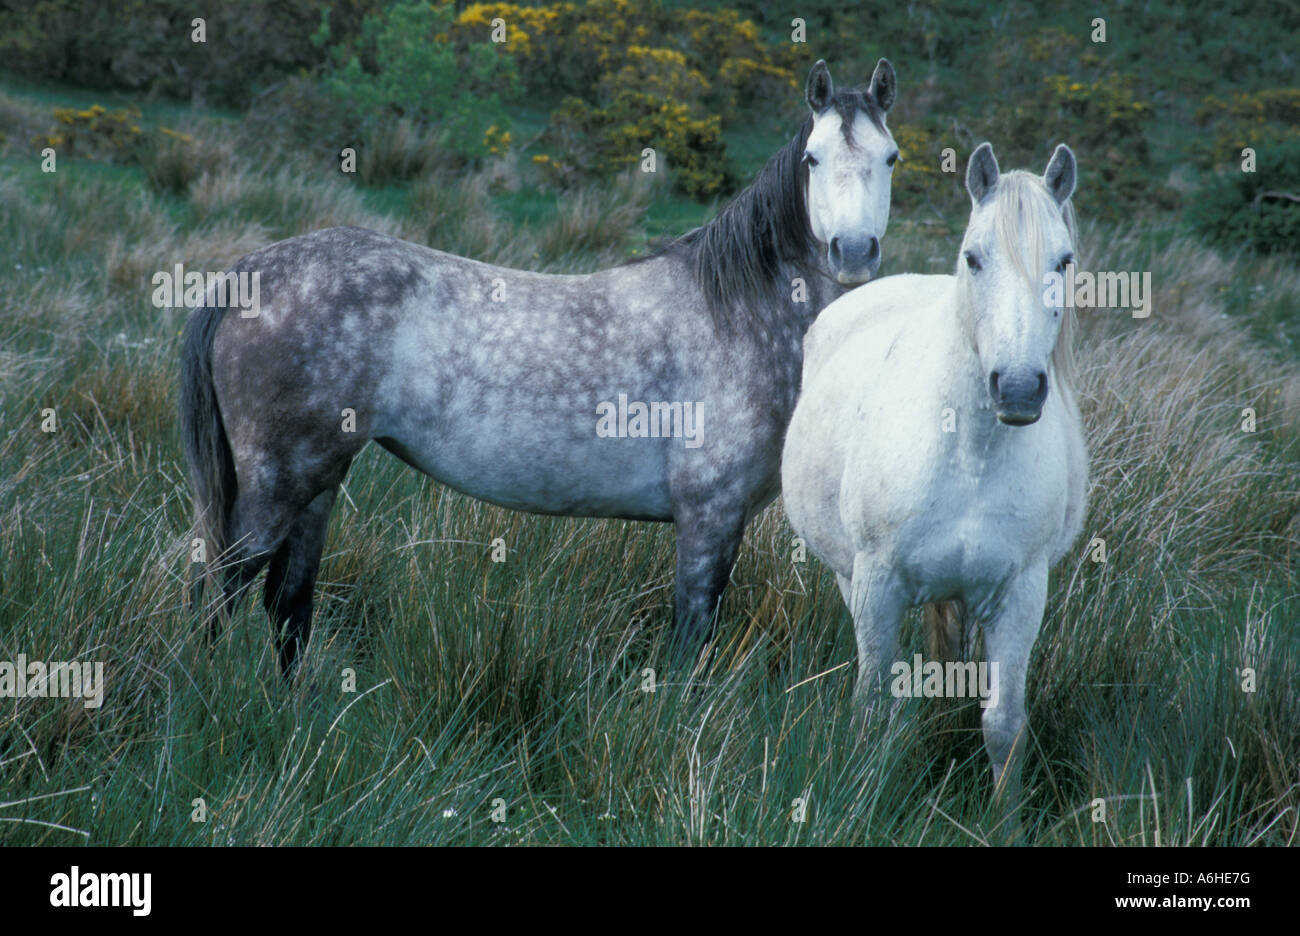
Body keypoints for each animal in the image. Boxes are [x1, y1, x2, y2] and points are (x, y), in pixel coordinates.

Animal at [180, 59, 900, 675]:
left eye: (890, 157)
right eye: (813, 158)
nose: (853, 251)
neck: (738, 313)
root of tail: (250, 274)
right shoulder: (709, 518)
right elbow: (688, 645)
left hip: (318, 482)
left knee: (286, 605)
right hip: (278, 484)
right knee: (219, 595)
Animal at [780, 142, 1089, 814]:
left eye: (1064, 260)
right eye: (974, 258)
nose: (1018, 388)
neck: (971, 453)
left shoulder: (1021, 594)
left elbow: (1004, 725)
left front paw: (1003, 822)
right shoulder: (877, 585)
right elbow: (875, 707)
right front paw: (862, 798)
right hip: (851, 578)